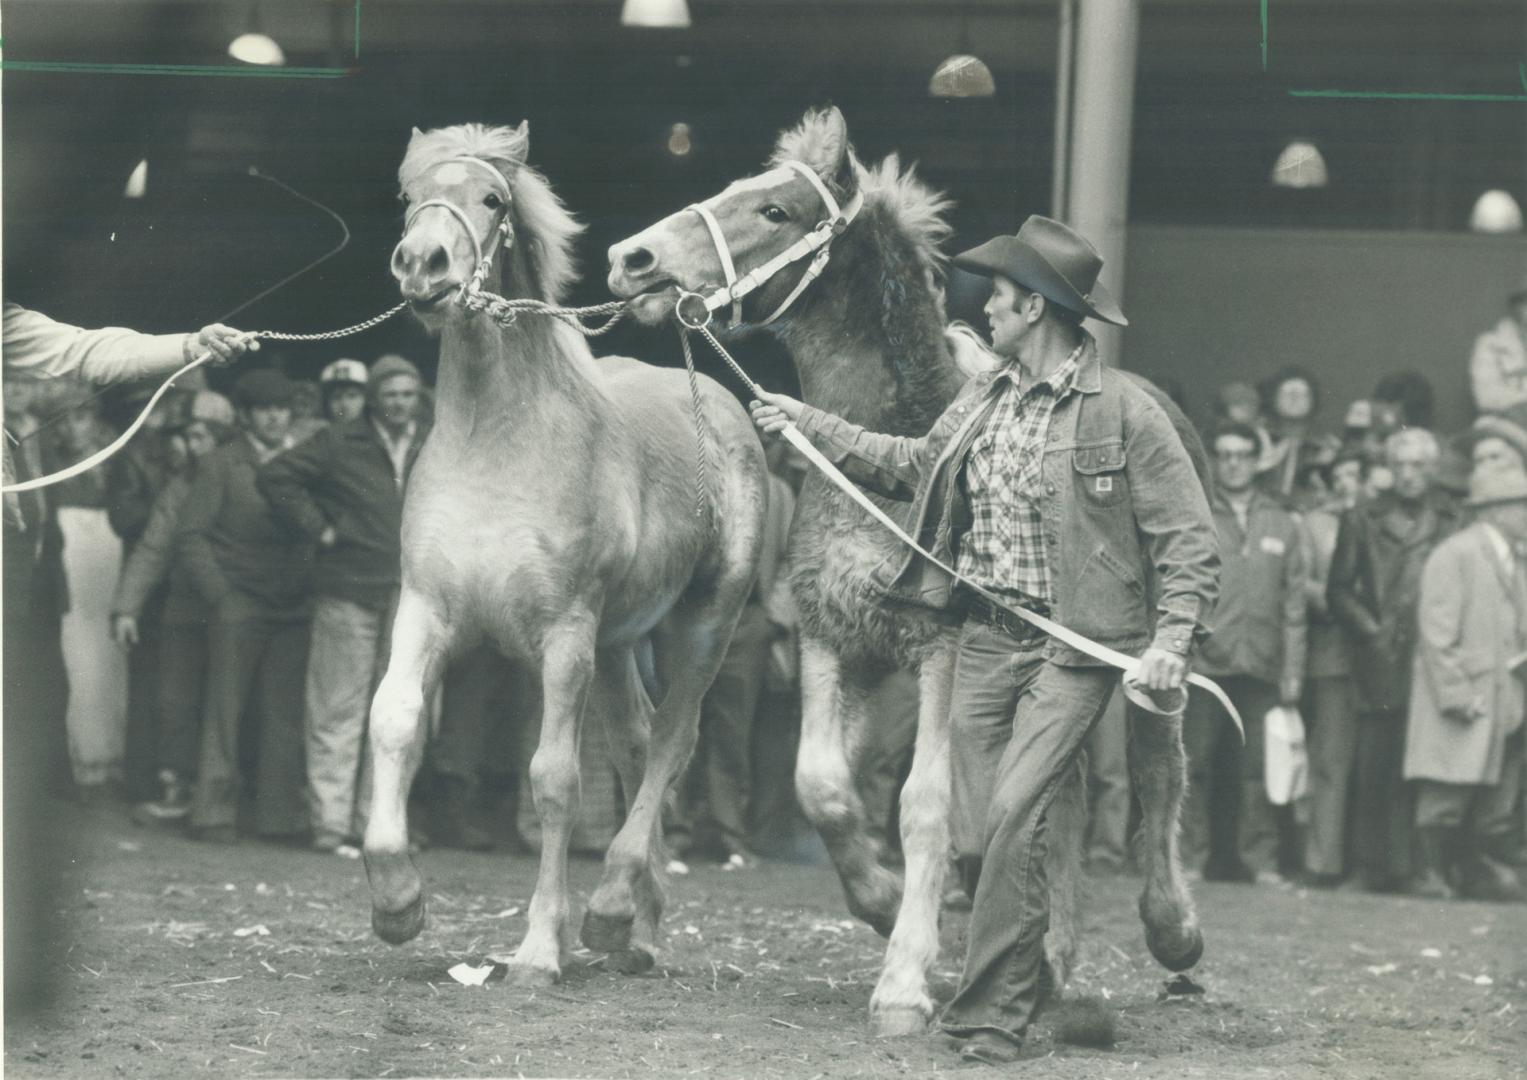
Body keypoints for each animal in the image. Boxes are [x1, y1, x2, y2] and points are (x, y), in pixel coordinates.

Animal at [364, 122, 769, 983]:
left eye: (491, 199)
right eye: (410, 196)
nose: (422, 265)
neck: (497, 443)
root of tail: (721, 404)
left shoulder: (565, 635)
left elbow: (554, 779)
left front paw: (538, 949)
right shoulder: (427, 611)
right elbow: (394, 723)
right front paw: (397, 903)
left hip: (701, 623)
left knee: (673, 742)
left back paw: (613, 911)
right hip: (618, 646)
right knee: (639, 741)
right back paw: (637, 925)